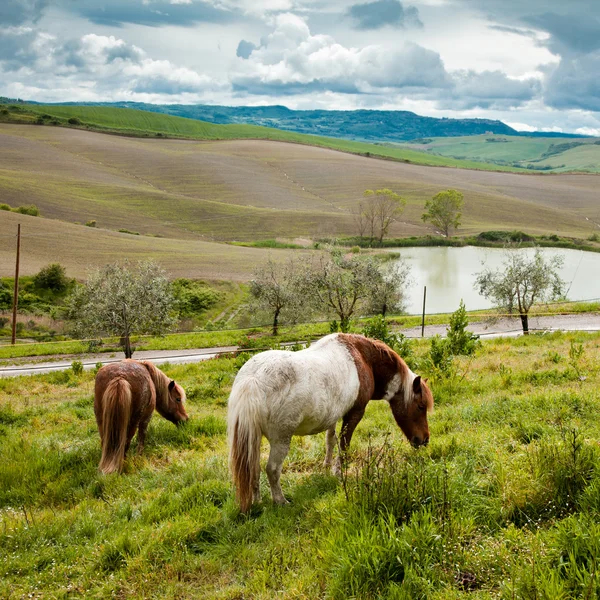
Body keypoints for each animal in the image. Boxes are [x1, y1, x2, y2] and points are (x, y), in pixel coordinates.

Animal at [227, 332, 434, 510]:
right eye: (420, 406)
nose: (424, 440)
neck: (363, 358)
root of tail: (253, 380)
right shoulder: (354, 413)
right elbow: (344, 445)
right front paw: (338, 473)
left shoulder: (333, 415)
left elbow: (330, 440)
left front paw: (326, 468)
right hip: (281, 440)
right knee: (272, 469)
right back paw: (280, 501)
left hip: (254, 438)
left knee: (253, 467)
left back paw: (257, 501)